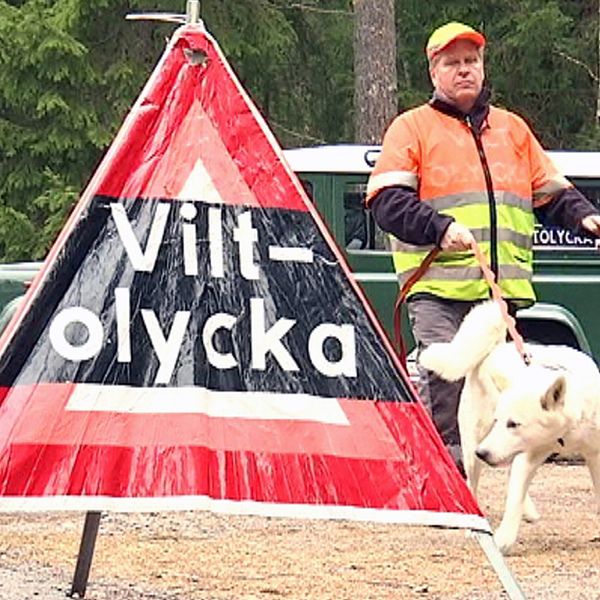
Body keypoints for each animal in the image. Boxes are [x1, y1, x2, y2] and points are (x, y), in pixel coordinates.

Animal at [418, 300, 600, 552]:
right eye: (499, 420)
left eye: (513, 423)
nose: (483, 453)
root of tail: (494, 349)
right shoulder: (528, 455)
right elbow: (514, 497)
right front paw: (503, 540)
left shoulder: (593, 455)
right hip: (474, 448)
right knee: (473, 484)